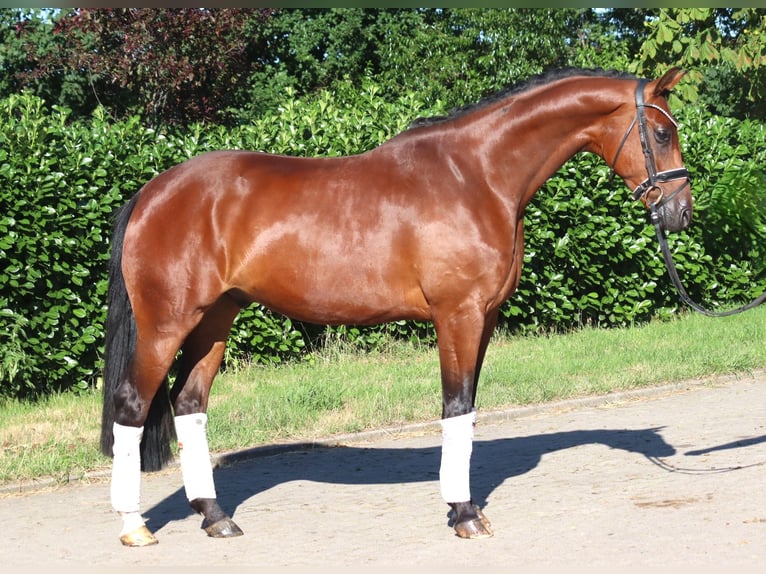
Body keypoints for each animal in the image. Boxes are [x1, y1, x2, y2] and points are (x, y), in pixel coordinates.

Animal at [100, 67, 693, 546]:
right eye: (663, 133)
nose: (681, 212)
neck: (476, 175)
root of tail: (153, 192)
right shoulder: (458, 314)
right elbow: (456, 406)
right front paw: (464, 514)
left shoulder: (484, 318)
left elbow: (468, 408)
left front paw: (462, 508)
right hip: (167, 324)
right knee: (132, 406)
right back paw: (133, 526)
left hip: (216, 319)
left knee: (189, 404)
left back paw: (215, 516)